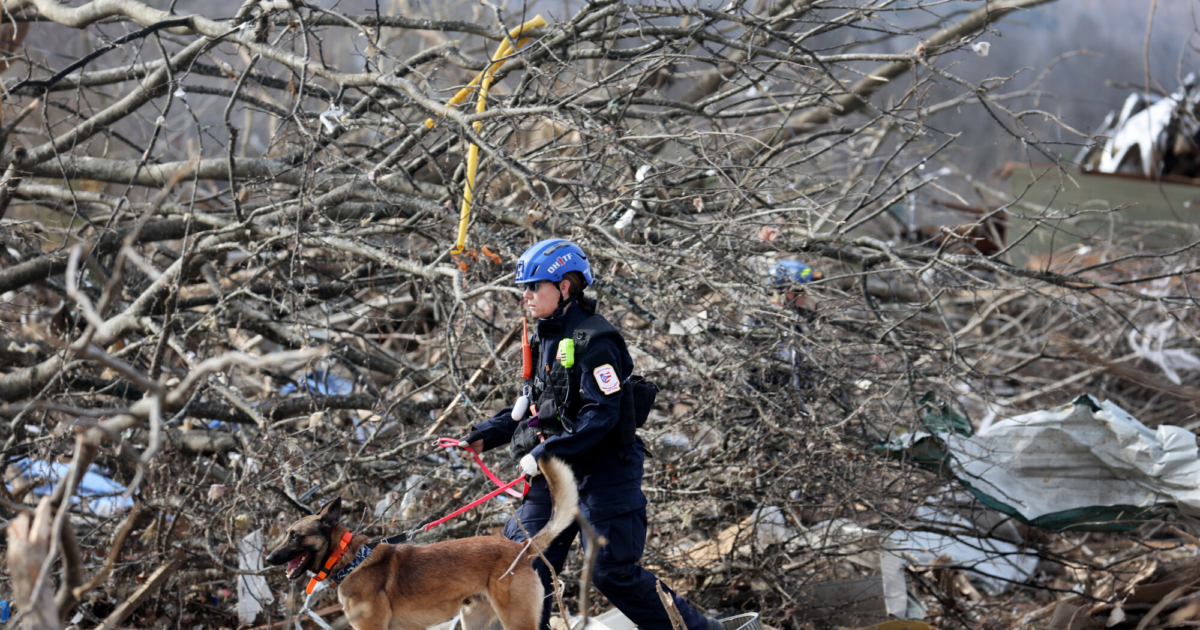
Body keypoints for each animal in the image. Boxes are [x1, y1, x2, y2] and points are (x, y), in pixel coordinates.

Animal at [264, 456, 580, 628]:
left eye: (294, 535)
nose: (268, 559)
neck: (350, 560)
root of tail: (519, 548)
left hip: (516, 619)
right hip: (475, 620)